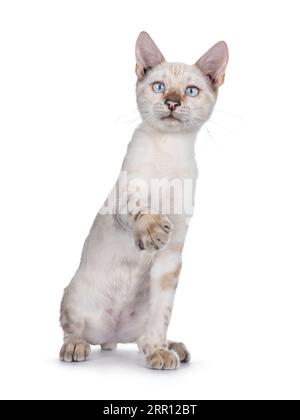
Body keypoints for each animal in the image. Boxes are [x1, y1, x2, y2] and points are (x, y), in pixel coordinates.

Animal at [58, 31, 229, 370]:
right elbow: (140, 208)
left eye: (191, 91)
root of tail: (111, 335)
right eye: (159, 86)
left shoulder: (171, 258)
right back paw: (75, 348)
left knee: (142, 337)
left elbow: (161, 316)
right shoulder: (123, 197)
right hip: (74, 296)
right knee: (73, 330)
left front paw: (159, 352)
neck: (169, 148)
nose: (172, 103)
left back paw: (170, 347)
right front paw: (150, 231)